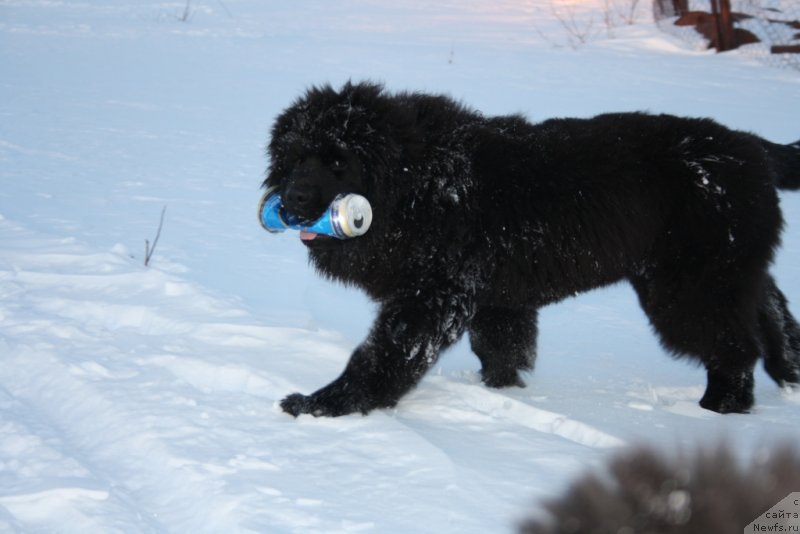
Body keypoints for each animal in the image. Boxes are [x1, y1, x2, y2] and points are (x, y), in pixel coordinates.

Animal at [264, 81, 800, 420]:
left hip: (688, 288)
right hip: (725, 270)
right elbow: (501, 350)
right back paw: (789, 370)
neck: (418, 185)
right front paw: (509, 393)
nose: (292, 201)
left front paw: (324, 405)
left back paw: (718, 412)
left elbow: (386, 353)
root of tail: (752, 147)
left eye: (338, 162)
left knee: (733, 348)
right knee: (768, 306)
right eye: (294, 159)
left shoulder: (432, 295)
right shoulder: (495, 298)